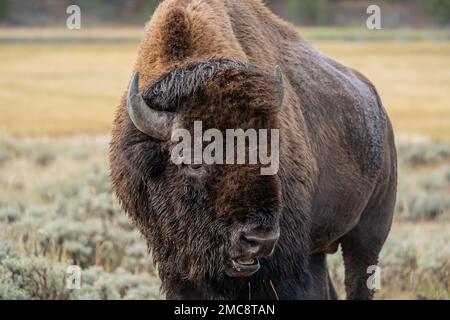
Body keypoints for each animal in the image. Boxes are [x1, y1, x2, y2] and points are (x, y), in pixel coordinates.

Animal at [110, 0, 398, 300]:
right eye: (194, 160)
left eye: (270, 154)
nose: (258, 239)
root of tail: (380, 112)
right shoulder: (172, 262)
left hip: (369, 233)